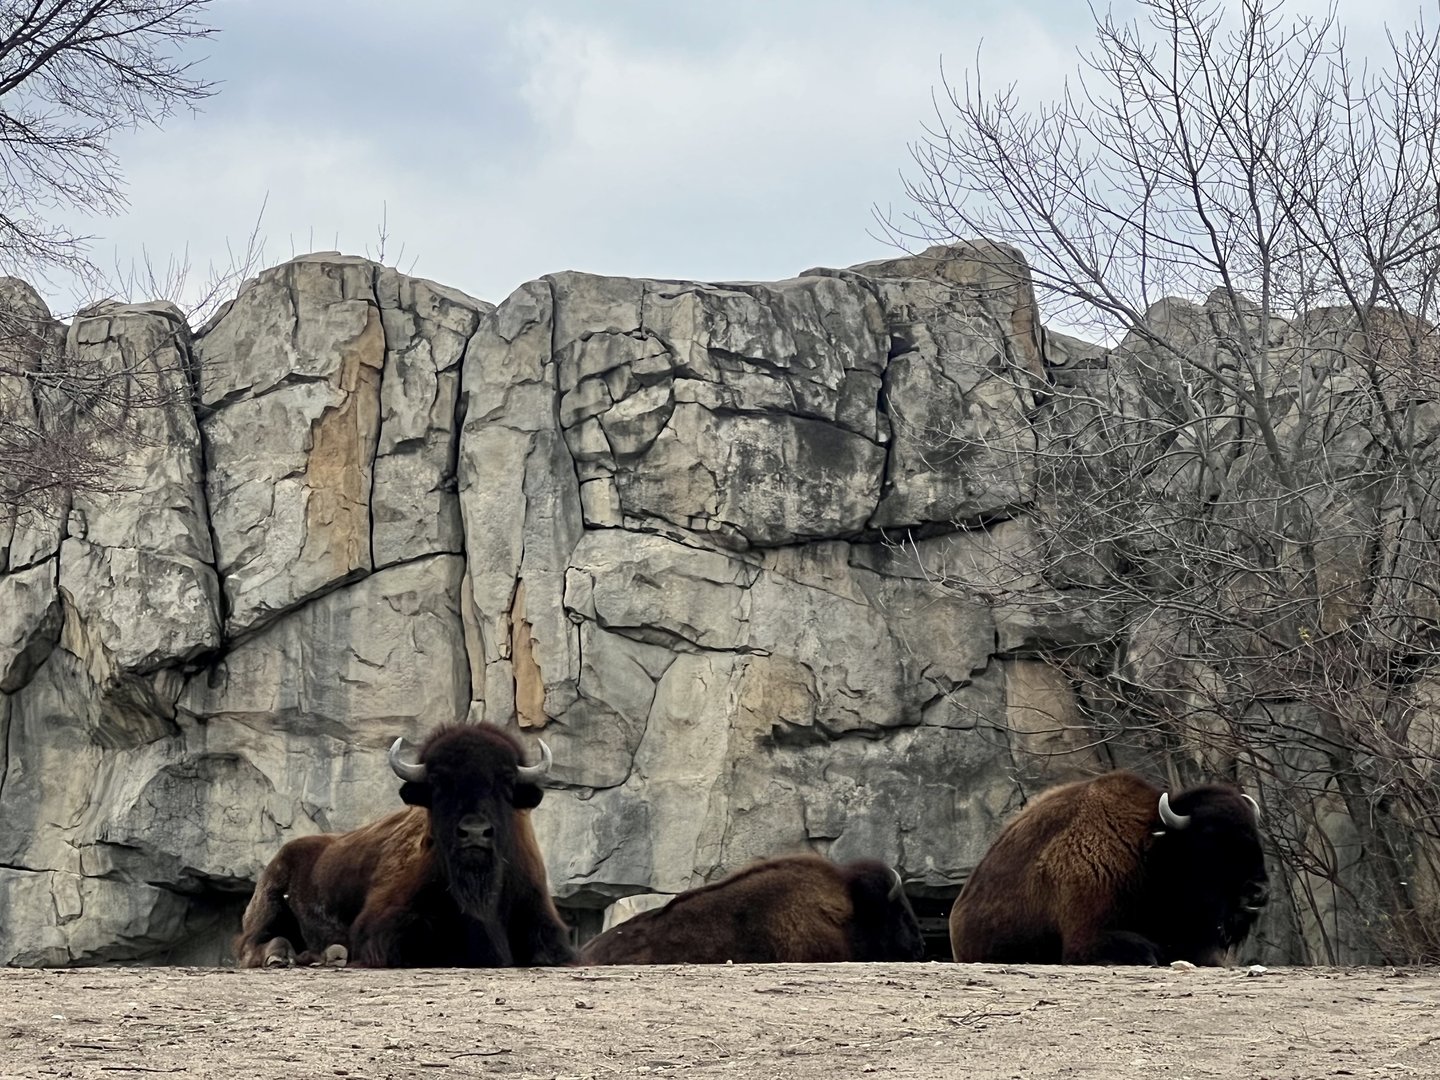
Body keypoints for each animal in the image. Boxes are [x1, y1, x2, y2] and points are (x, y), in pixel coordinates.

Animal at [234, 723, 576, 968]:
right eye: (438, 782)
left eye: (505, 781)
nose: (474, 833)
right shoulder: (380, 924)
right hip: (269, 902)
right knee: (253, 943)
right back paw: (286, 956)